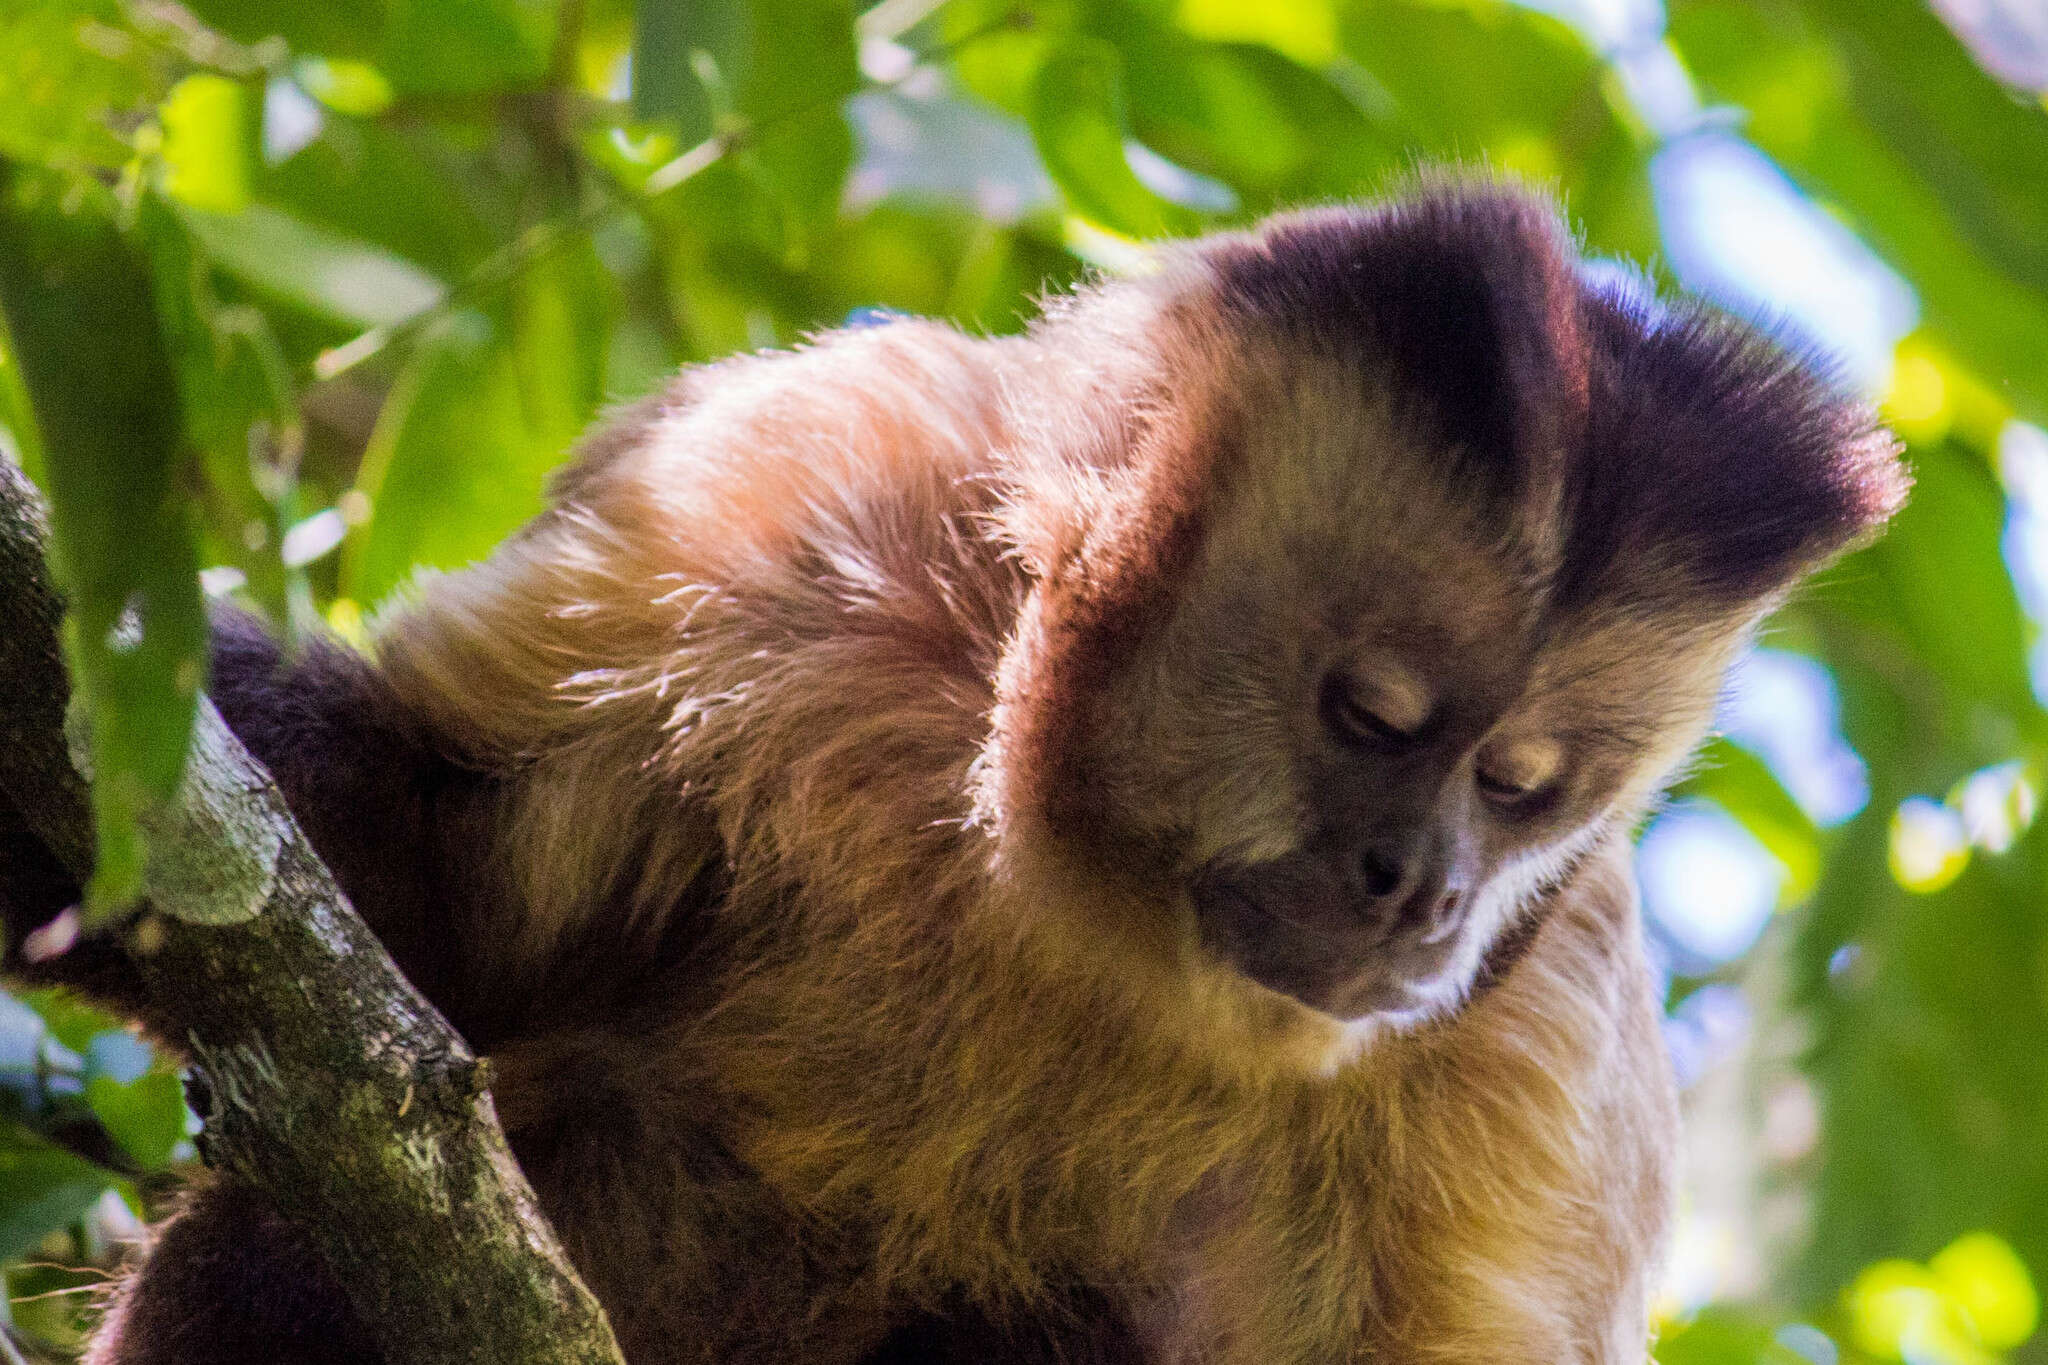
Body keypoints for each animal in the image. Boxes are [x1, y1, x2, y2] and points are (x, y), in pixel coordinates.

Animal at [12, 184, 1900, 1365]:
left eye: (1521, 787)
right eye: (1372, 716)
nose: (1422, 889)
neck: (1070, 901)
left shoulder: (1540, 1022)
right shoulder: (775, 497)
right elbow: (424, 898)